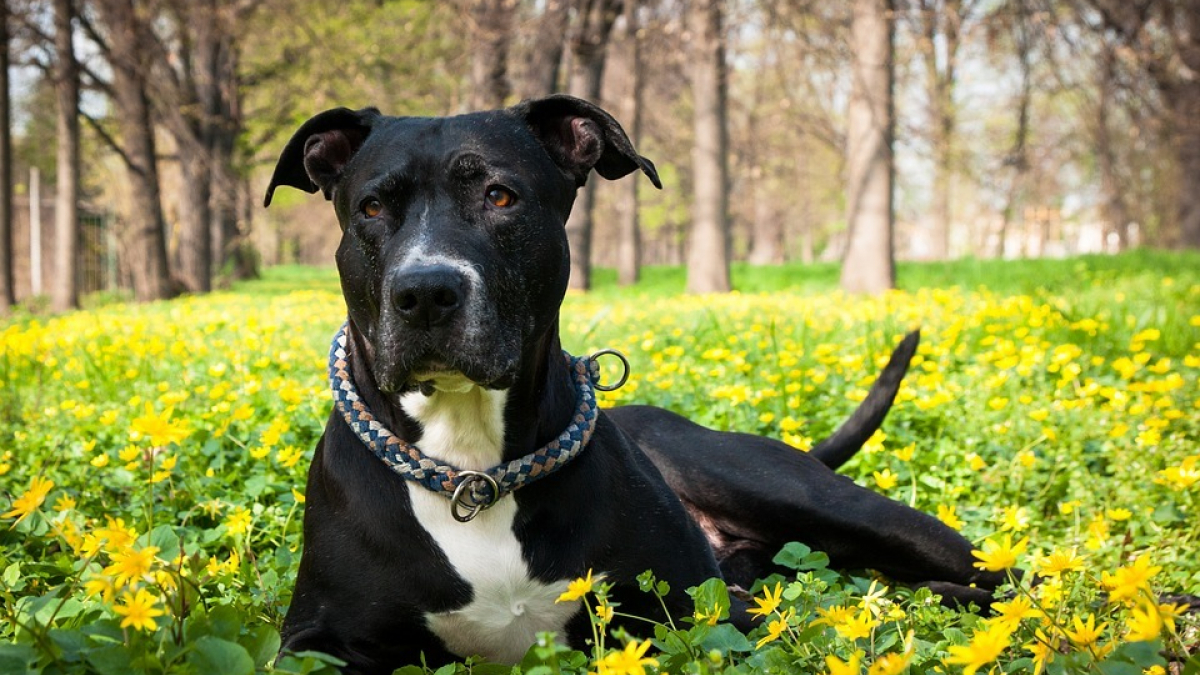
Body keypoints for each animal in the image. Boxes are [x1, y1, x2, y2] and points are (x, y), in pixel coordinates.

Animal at [265, 96, 1003, 672]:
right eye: (371, 207)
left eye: (500, 196)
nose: (424, 292)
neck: (473, 470)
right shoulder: (316, 641)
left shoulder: (701, 610)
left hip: (816, 501)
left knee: (993, 574)